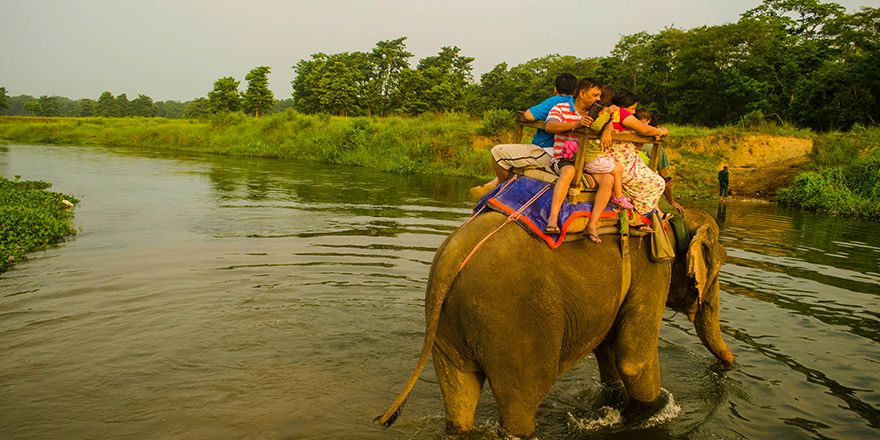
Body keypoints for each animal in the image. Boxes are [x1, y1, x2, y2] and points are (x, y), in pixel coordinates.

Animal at [374, 207, 732, 440]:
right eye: (719, 267)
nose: (725, 367)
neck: (674, 218)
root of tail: (451, 258)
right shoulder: (653, 267)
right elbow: (633, 358)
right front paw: (648, 412)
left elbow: (609, 350)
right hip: (514, 328)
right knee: (519, 408)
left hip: (447, 328)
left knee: (459, 395)